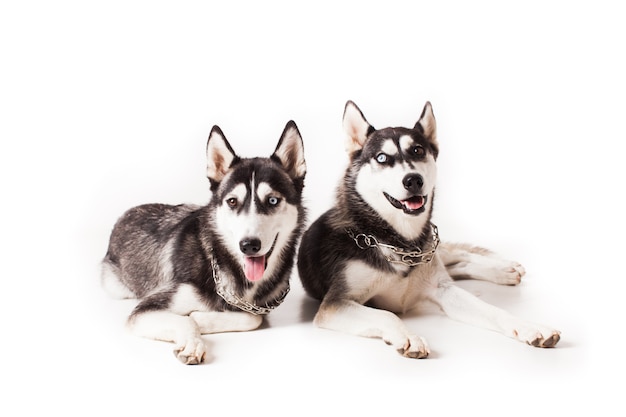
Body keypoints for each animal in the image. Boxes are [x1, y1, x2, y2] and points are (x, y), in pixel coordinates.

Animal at [101, 119, 306, 360]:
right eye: (233, 201)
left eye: (273, 200)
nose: (248, 245)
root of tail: (126, 214)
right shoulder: (144, 310)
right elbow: (184, 321)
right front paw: (192, 339)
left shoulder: (259, 308)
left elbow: (252, 318)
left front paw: (199, 317)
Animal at [294, 101, 560, 358]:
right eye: (382, 158)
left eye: (418, 150)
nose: (413, 180)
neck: (395, 241)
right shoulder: (336, 303)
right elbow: (387, 314)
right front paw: (408, 336)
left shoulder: (442, 289)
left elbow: (495, 311)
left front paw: (530, 327)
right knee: (457, 264)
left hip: (432, 250)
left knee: (457, 255)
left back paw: (504, 269)